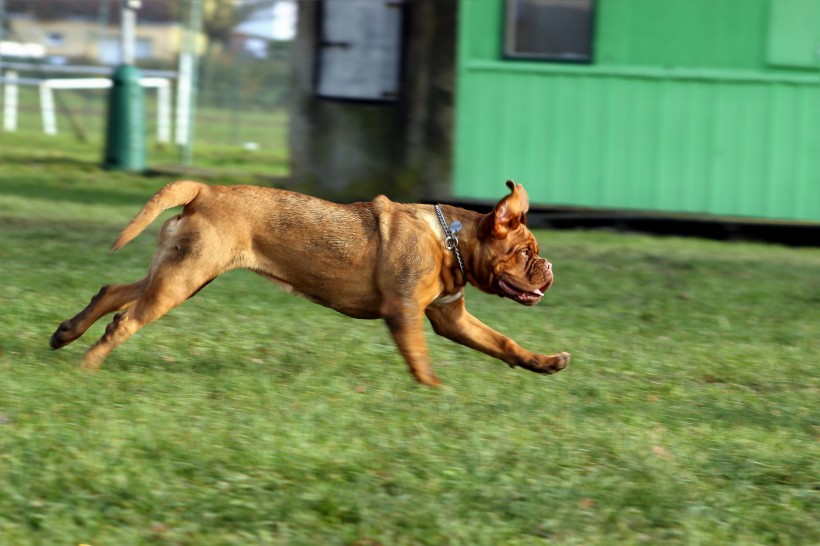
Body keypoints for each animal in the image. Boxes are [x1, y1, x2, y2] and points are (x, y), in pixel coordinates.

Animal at [49, 178, 564, 382]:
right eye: (525, 253)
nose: (549, 268)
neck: (452, 239)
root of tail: (205, 189)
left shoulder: (450, 317)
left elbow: (503, 343)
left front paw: (546, 362)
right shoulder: (405, 315)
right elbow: (420, 362)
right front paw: (433, 392)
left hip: (181, 274)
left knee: (113, 293)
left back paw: (66, 334)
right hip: (182, 279)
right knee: (125, 320)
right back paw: (85, 368)